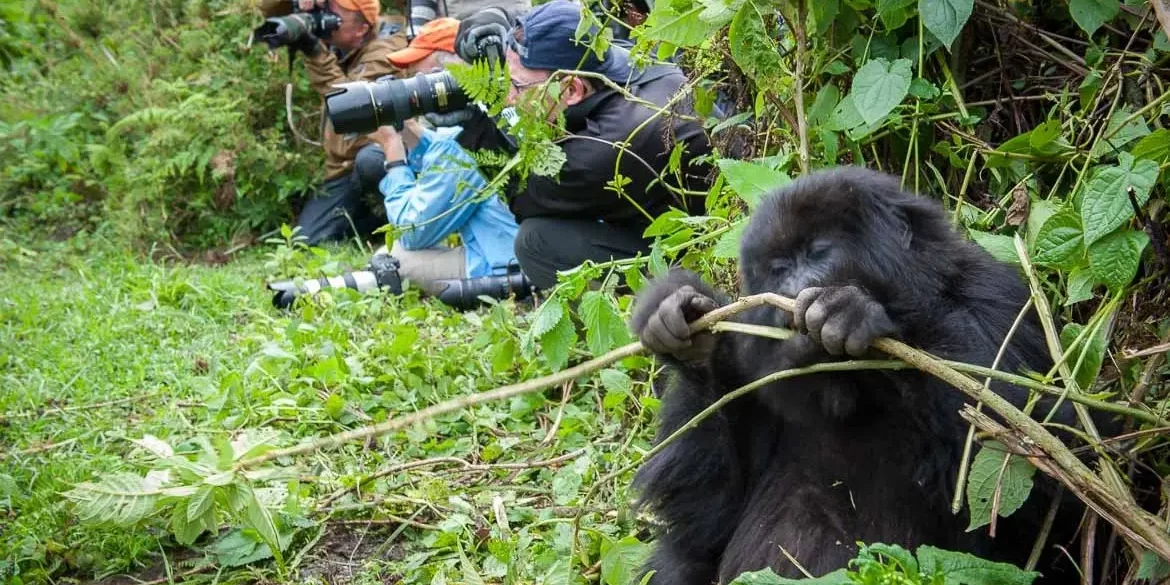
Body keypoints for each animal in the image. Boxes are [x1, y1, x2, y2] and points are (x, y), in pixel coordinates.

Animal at [628, 166, 1112, 584]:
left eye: (818, 252)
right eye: (779, 268)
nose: (791, 290)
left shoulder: (1000, 299)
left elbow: (1050, 475)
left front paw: (854, 312)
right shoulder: (753, 373)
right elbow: (707, 518)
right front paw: (690, 338)